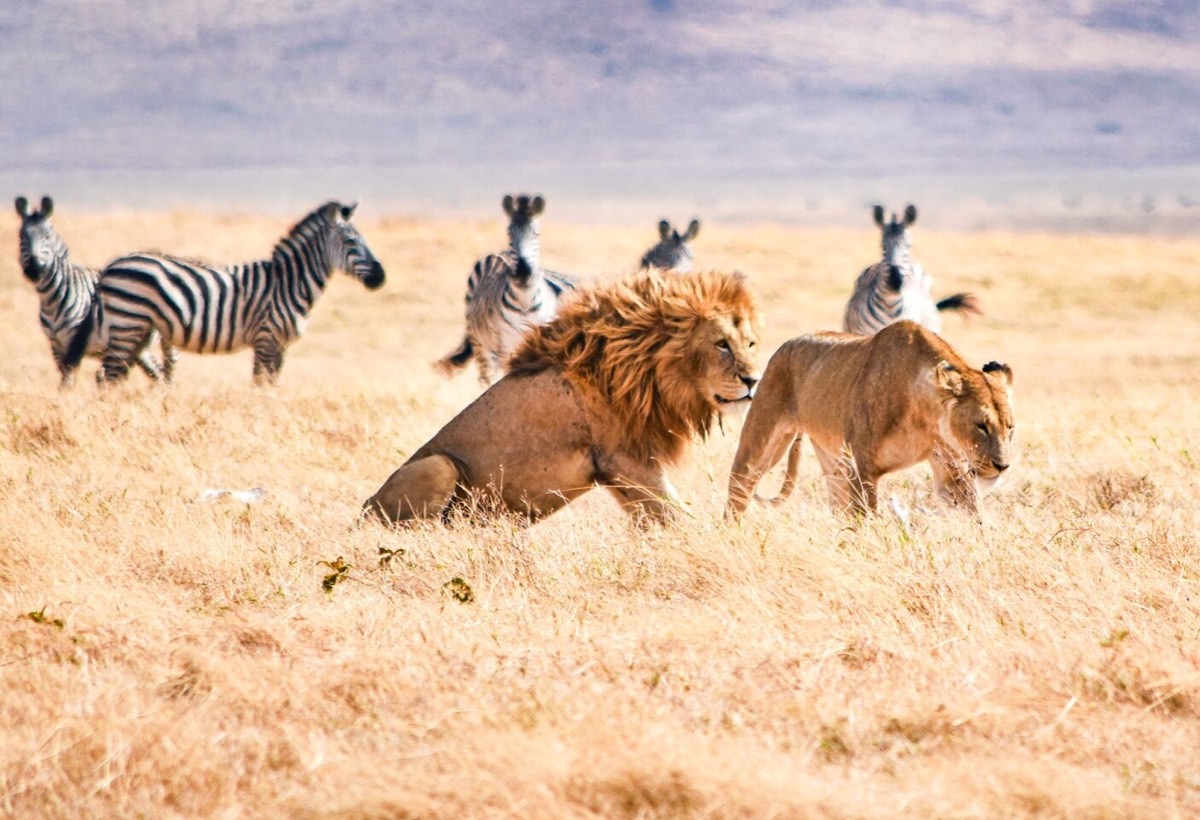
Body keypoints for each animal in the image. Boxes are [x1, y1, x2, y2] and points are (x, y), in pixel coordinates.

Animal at [15, 195, 161, 387]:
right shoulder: (56, 345)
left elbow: (68, 378)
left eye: (47, 237)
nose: (33, 269)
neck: (51, 298)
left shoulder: (75, 339)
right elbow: (65, 377)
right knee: (157, 373)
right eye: (21, 237)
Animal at [75, 201, 385, 386]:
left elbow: (272, 385)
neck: (288, 283)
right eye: (351, 241)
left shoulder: (280, 345)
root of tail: (111, 266)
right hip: (128, 322)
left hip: (138, 329)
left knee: (113, 376)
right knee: (108, 376)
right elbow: (260, 384)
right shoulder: (266, 337)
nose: (380, 278)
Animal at [363, 269, 763, 525]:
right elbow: (677, 516)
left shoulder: (620, 473)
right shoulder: (626, 459)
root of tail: (363, 510)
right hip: (438, 466)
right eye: (721, 344)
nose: (753, 380)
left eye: (750, 344)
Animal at [437, 193, 578, 385]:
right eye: (509, 234)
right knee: (486, 378)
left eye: (536, 234)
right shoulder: (506, 347)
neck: (525, 302)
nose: (523, 271)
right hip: (482, 345)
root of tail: (499, 253)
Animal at [726, 320, 1014, 520]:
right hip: (762, 442)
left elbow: (974, 513)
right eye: (981, 426)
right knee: (739, 488)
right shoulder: (862, 467)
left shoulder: (951, 471)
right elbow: (866, 518)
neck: (925, 417)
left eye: (1010, 428)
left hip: (835, 463)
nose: (1003, 466)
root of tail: (786, 344)